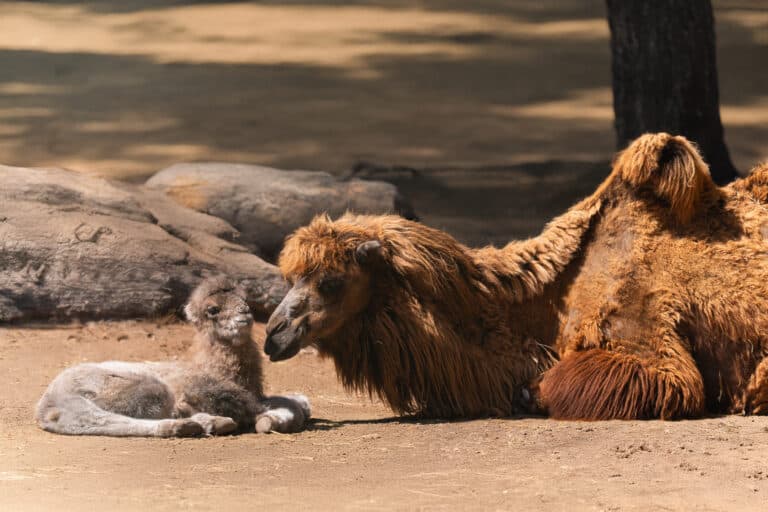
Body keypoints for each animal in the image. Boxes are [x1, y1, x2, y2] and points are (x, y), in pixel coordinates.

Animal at [36, 276, 310, 437]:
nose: (245, 314)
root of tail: (50, 402)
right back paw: (194, 424)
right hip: (144, 387)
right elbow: (284, 406)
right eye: (213, 310)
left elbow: (299, 401)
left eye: (245, 300)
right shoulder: (217, 389)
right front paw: (269, 420)